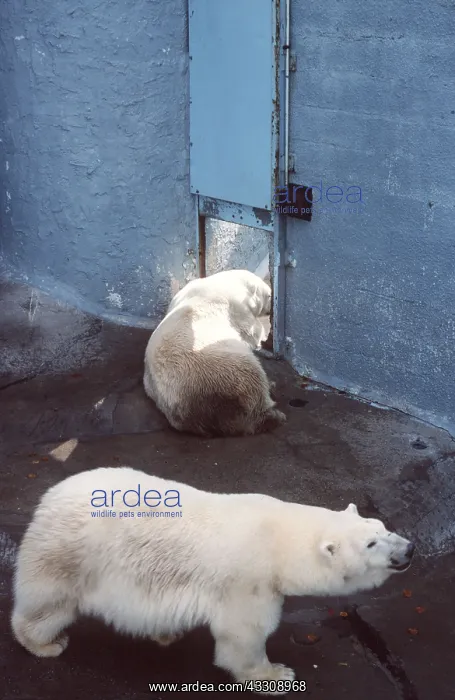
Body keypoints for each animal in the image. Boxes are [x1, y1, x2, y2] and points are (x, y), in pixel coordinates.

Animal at [11, 467, 414, 694]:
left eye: (382, 527)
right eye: (371, 543)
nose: (409, 549)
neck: (279, 538)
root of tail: (50, 495)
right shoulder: (249, 579)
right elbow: (243, 635)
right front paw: (276, 675)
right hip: (71, 553)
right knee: (50, 601)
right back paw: (46, 643)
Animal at [143, 268, 286, 437]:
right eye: (269, 295)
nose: (272, 307)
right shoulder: (237, 308)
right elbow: (250, 331)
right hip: (225, 368)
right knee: (252, 384)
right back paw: (273, 413)